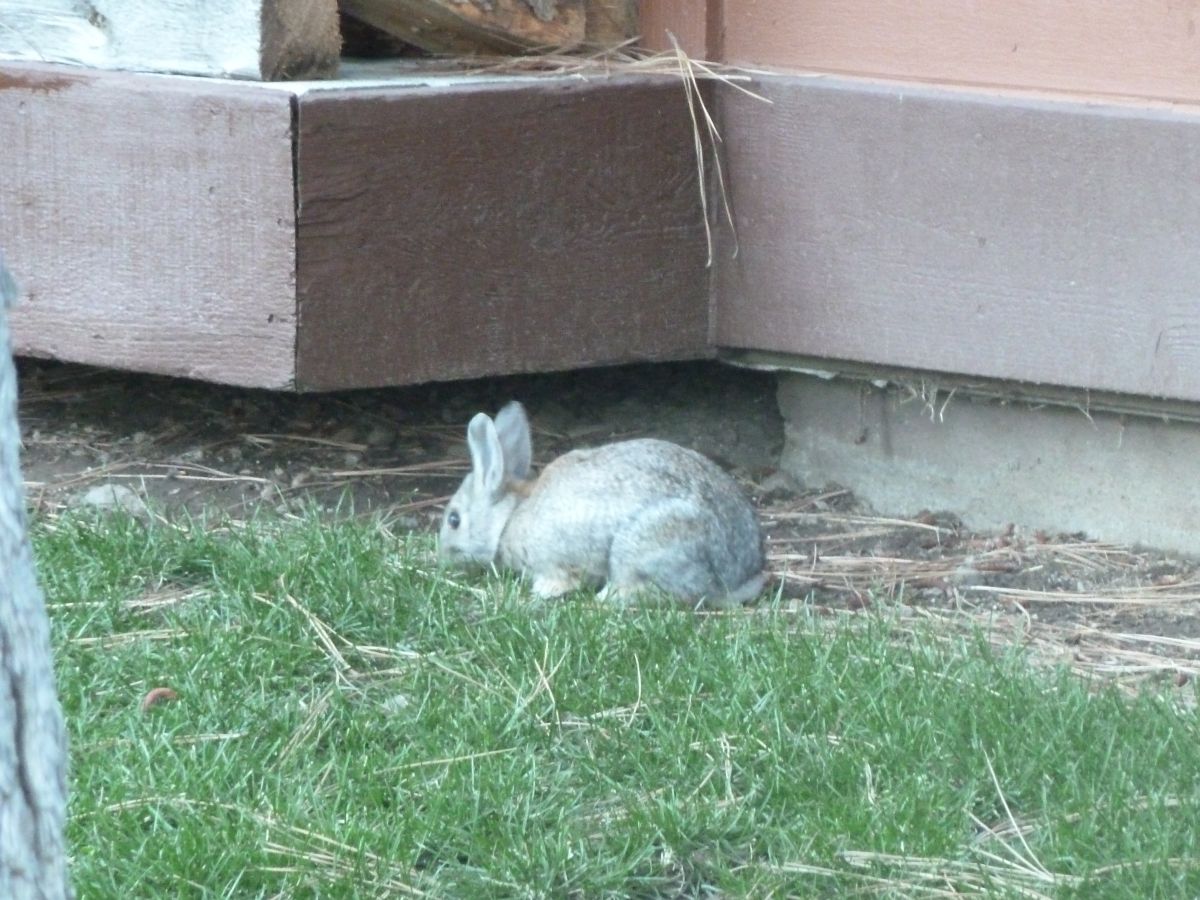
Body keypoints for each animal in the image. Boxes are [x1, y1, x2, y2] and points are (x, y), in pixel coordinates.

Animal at [438, 401, 766, 608]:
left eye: (454, 520)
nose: (442, 555)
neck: (509, 518)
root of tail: (736, 580)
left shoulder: (559, 559)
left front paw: (545, 591)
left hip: (646, 545)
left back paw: (608, 597)